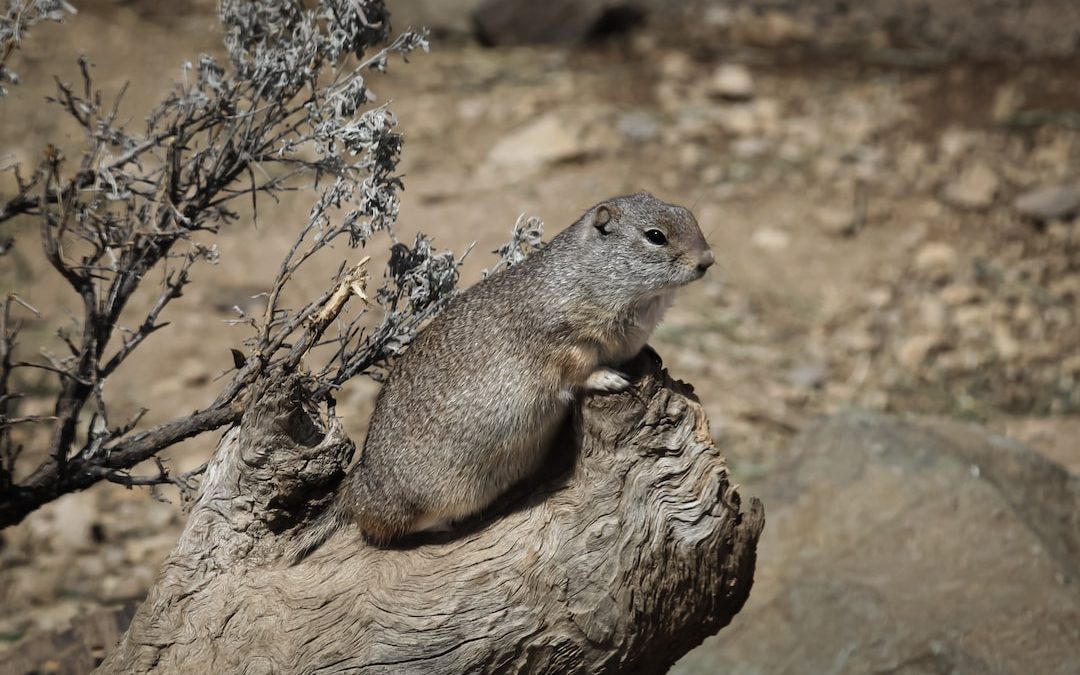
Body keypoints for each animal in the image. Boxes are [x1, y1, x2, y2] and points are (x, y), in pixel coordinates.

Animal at [291, 191, 712, 557]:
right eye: (655, 236)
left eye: (689, 214)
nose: (707, 260)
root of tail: (355, 487)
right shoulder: (564, 341)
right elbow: (578, 370)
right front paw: (610, 378)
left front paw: (652, 358)